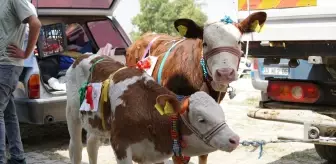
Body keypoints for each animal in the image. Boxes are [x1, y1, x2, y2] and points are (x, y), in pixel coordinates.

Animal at [65, 54, 239, 164]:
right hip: (72, 114)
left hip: (96, 124)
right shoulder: (120, 145)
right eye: (201, 119)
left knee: (92, 145)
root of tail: (83, 56)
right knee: (76, 149)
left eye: (222, 114)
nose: (235, 139)